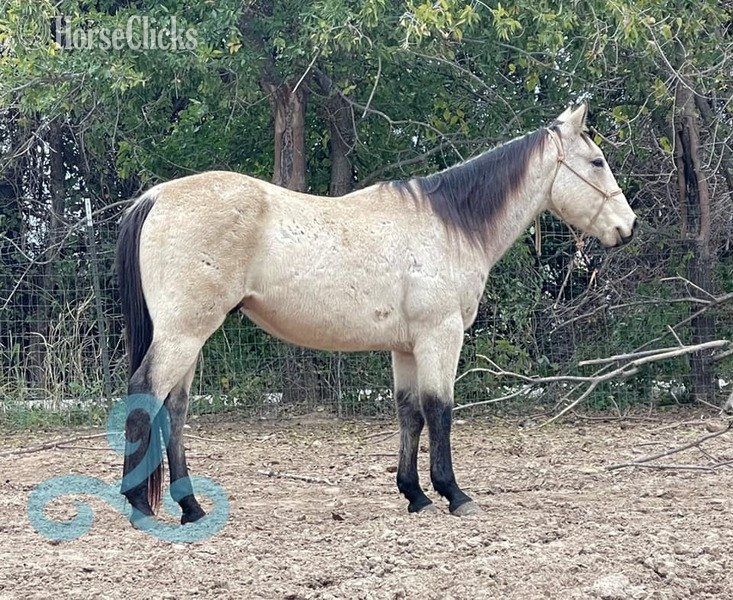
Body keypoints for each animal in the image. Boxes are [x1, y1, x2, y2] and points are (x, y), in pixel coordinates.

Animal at [116, 104, 637, 526]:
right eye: (597, 161)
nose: (627, 227)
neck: (449, 225)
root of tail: (156, 197)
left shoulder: (405, 347)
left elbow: (410, 414)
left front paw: (415, 496)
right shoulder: (440, 335)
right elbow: (440, 410)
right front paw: (454, 494)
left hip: (189, 338)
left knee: (175, 408)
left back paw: (191, 507)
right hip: (185, 333)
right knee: (146, 393)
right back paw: (140, 506)